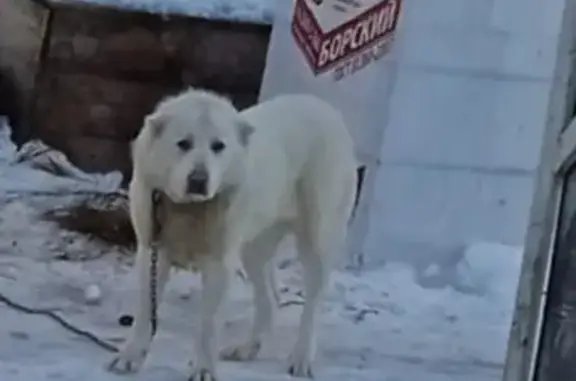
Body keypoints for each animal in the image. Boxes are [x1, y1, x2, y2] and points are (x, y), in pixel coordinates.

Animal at [106, 87, 358, 378]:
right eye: (183, 144)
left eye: (218, 146)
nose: (198, 180)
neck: (190, 208)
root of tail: (326, 109)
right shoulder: (153, 253)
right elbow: (145, 311)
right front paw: (129, 357)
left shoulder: (219, 264)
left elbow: (208, 325)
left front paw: (204, 371)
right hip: (255, 248)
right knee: (270, 299)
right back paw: (247, 349)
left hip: (316, 239)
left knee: (312, 304)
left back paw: (301, 358)